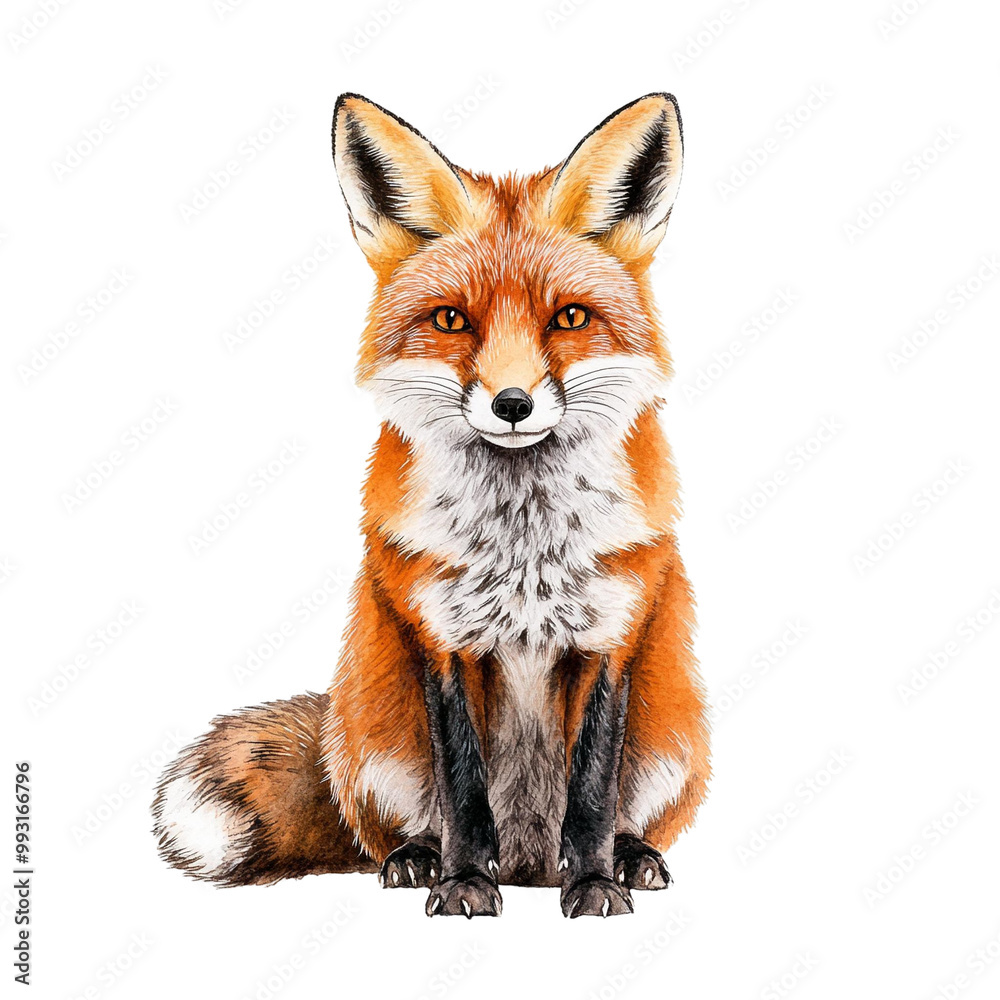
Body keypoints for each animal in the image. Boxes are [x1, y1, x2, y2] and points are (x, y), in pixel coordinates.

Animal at [152, 92, 710, 918]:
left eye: (569, 318)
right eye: (452, 320)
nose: (512, 404)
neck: (523, 549)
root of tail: (529, 863)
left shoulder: (610, 635)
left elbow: (589, 792)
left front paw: (595, 885)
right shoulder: (440, 638)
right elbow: (464, 791)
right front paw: (463, 884)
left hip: (672, 734)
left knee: (627, 815)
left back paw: (631, 856)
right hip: (374, 736)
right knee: (394, 827)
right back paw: (417, 858)